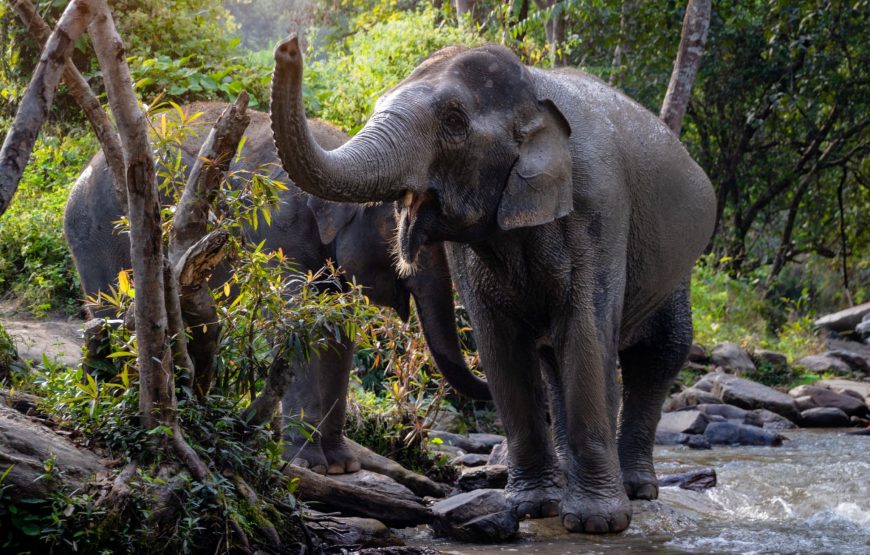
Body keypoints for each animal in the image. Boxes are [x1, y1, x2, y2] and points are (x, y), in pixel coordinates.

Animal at [64, 102, 490, 476]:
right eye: (403, 222)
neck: (343, 152)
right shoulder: (274, 233)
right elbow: (295, 325)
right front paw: (311, 465)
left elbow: (335, 334)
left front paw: (342, 466)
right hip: (102, 235)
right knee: (112, 317)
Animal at [270, 35, 716, 536]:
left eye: (454, 121)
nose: (288, 48)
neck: (533, 89)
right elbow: (501, 347)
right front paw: (532, 509)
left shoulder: (598, 207)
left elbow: (585, 333)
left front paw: (597, 523)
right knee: (553, 359)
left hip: (678, 269)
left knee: (659, 354)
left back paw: (638, 491)